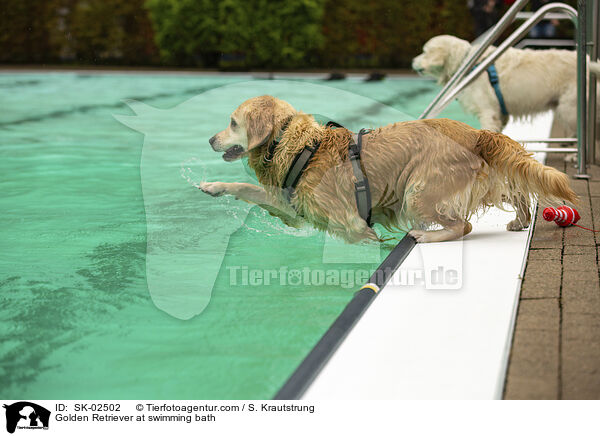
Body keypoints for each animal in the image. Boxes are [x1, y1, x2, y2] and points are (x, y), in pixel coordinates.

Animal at [412, 35, 600, 135]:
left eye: (424, 51)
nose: (412, 61)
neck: (467, 63)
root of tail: (587, 61)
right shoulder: (499, 114)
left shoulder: (488, 112)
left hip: (569, 109)